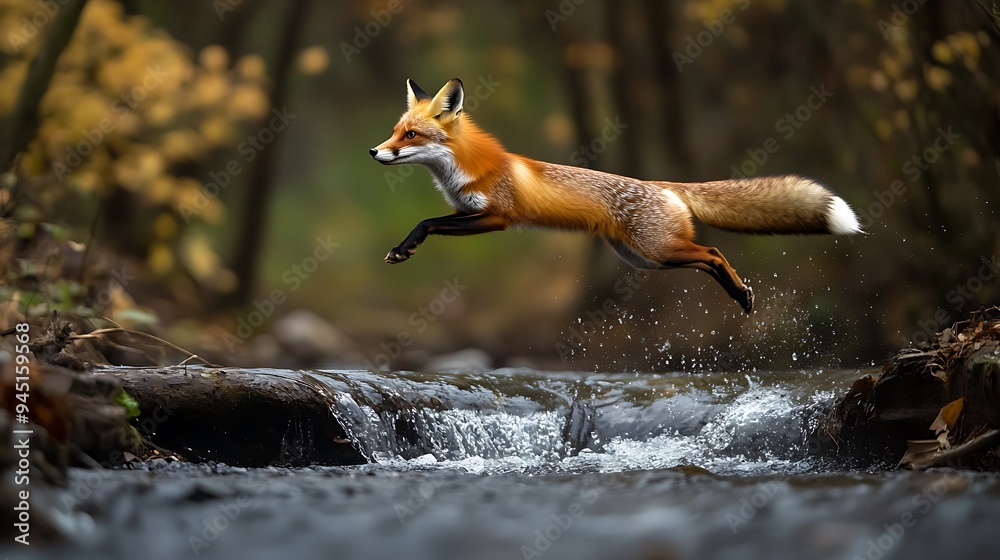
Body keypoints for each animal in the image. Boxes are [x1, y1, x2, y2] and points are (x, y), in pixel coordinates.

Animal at [370, 78, 862, 314]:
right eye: (395, 130)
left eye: (411, 135)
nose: (374, 152)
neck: (465, 170)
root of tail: (665, 185)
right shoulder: (470, 213)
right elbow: (433, 220)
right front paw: (402, 249)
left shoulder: (497, 217)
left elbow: (428, 222)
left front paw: (404, 248)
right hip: (646, 259)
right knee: (707, 259)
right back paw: (738, 294)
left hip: (657, 251)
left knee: (714, 251)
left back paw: (740, 294)